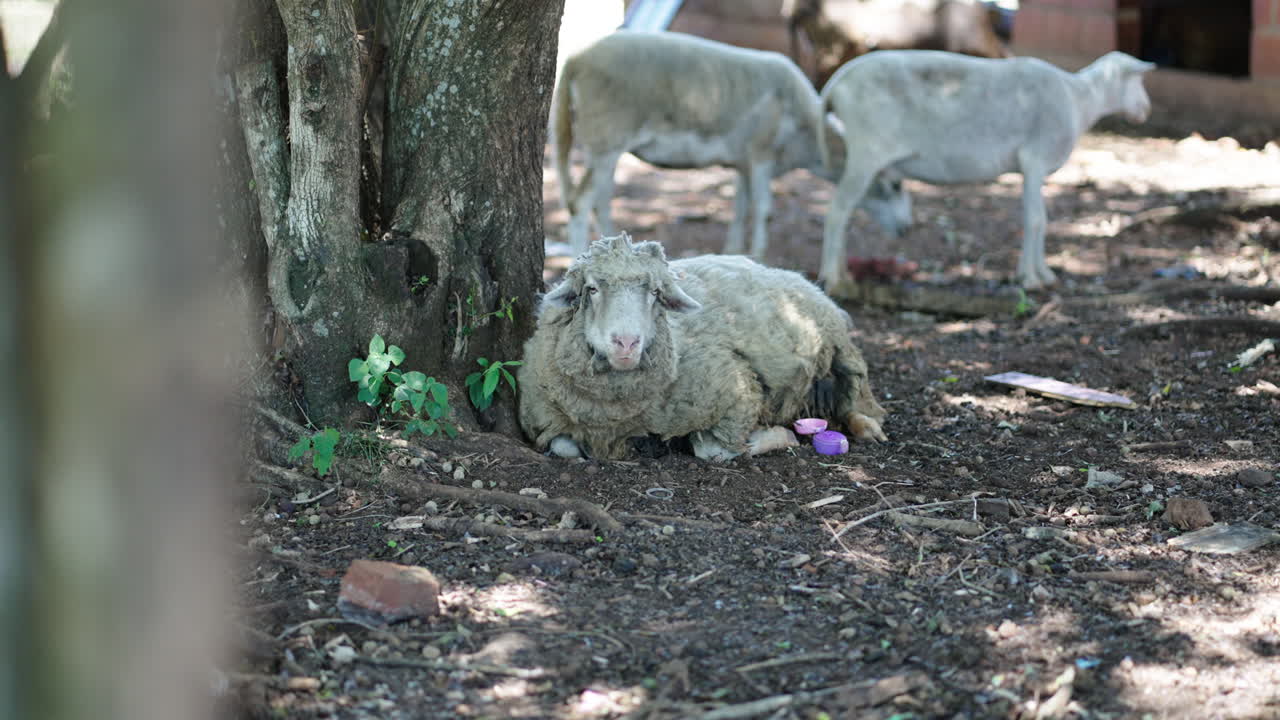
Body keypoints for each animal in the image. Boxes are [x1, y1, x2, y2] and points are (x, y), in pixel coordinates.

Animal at [518, 232, 888, 462]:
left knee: (856, 388)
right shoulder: (547, 422)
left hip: (838, 344)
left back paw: (867, 425)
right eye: (591, 289)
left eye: (655, 293)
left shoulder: (738, 390)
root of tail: (788, 273)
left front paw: (768, 436)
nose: (626, 342)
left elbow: (715, 450)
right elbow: (563, 446)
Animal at [552, 30, 910, 260]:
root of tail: (575, 60)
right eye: (894, 185)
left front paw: (734, 251)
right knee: (580, 203)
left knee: (598, 201)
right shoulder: (762, 155)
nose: (907, 228)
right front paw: (759, 254)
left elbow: (740, 208)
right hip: (606, 142)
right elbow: (764, 208)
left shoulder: (743, 162)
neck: (810, 140)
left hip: (604, 148)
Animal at [817, 50, 1156, 289]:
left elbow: (1040, 220)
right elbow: (1035, 220)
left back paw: (843, 272)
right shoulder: (1034, 159)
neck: (1081, 99)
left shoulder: (1032, 169)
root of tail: (838, 81)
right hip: (867, 151)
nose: (1146, 110)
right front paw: (1030, 279)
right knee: (837, 211)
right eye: (1139, 80)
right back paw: (831, 277)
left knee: (846, 211)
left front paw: (1042, 274)